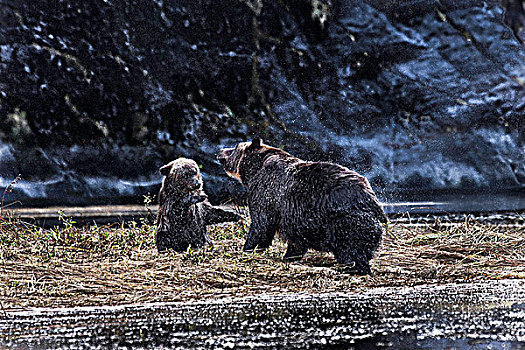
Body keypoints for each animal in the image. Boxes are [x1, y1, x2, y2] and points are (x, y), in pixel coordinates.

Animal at [216, 138, 384, 274]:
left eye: (234, 147)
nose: (220, 151)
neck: (254, 170)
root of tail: (371, 199)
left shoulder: (267, 194)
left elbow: (261, 225)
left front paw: (248, 248)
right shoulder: (296, 219)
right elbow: (296, 242)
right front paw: (289, 256)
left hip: (345, 220)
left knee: (350, 250)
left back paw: (353, 268)